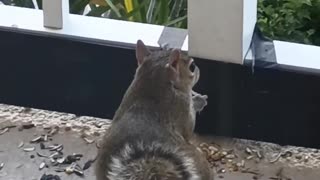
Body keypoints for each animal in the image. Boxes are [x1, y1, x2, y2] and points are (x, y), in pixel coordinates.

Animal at [95, 40, 212, 179]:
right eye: (192, 66)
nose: (198, 69)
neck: (151, 85)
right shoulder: (183, 107)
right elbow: (189, 128)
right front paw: (199, 101)